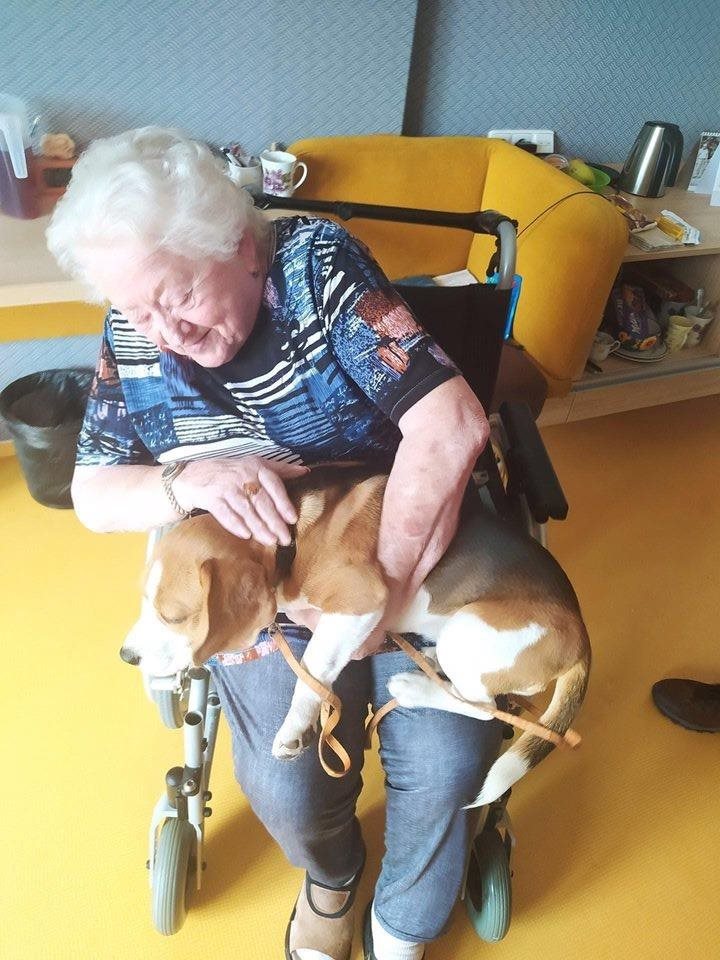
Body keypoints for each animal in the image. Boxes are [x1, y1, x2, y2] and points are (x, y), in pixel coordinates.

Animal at [123, 464, 590, 807]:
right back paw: (430, 663)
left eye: (174, 616)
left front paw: (294, 727)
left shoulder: (359, 603)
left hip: (468, 626)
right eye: (144, 600)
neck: (290, 541)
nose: (127, 656)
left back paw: (415, 686)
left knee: (484, 708)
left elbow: (310, 670)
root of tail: (581, 638)